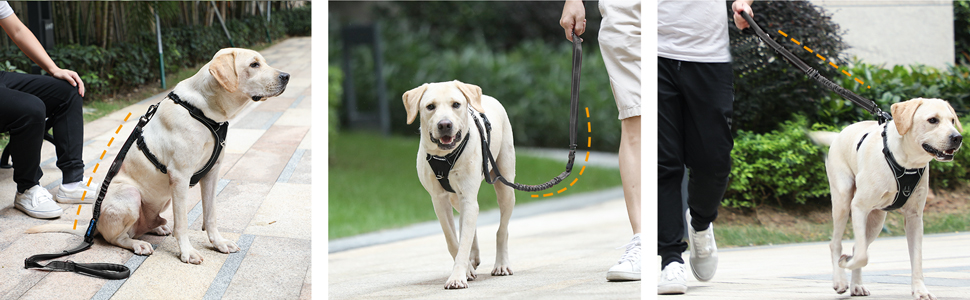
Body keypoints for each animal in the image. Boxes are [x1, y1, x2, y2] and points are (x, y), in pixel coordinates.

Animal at [28, 48, 290, 264]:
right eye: (254, 64)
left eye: (263, 61)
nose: (286, 76)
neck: (205, 111)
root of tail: (94, 226)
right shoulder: (180, 177)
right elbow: (182, 223)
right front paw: (187, 252)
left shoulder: (212, 174)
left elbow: (211, 215)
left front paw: (218, 243)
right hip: (129, 194)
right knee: (116, 238)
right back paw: (138, 244)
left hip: (161, 201)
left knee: (145, 224)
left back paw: (157, 228)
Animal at [402, 79, 520, 288]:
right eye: (430, 106)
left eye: (456, 104)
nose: (445, 124)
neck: (444, 157)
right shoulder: (439, 200)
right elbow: (453, 239)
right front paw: (466, 270)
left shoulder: (468, 196)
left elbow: (464, 239)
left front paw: (458, 276)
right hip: (456, 199)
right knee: (468, 223)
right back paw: (473, 259)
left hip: (505, 186)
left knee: (502, 229)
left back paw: (501, 264)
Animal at [808, 98, 960, 300]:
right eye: (932, 120)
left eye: (952, 120)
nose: (958, 137)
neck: (906, 163)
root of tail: (839, 134)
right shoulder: (859, 207)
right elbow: (862, 256)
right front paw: (845, 263)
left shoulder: (914, 217)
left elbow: (917, 258)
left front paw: (920, 290)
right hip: (842, 201)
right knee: (837, 244)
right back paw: (840, 280)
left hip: (876, 221)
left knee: (858, 246)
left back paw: (856, 285)